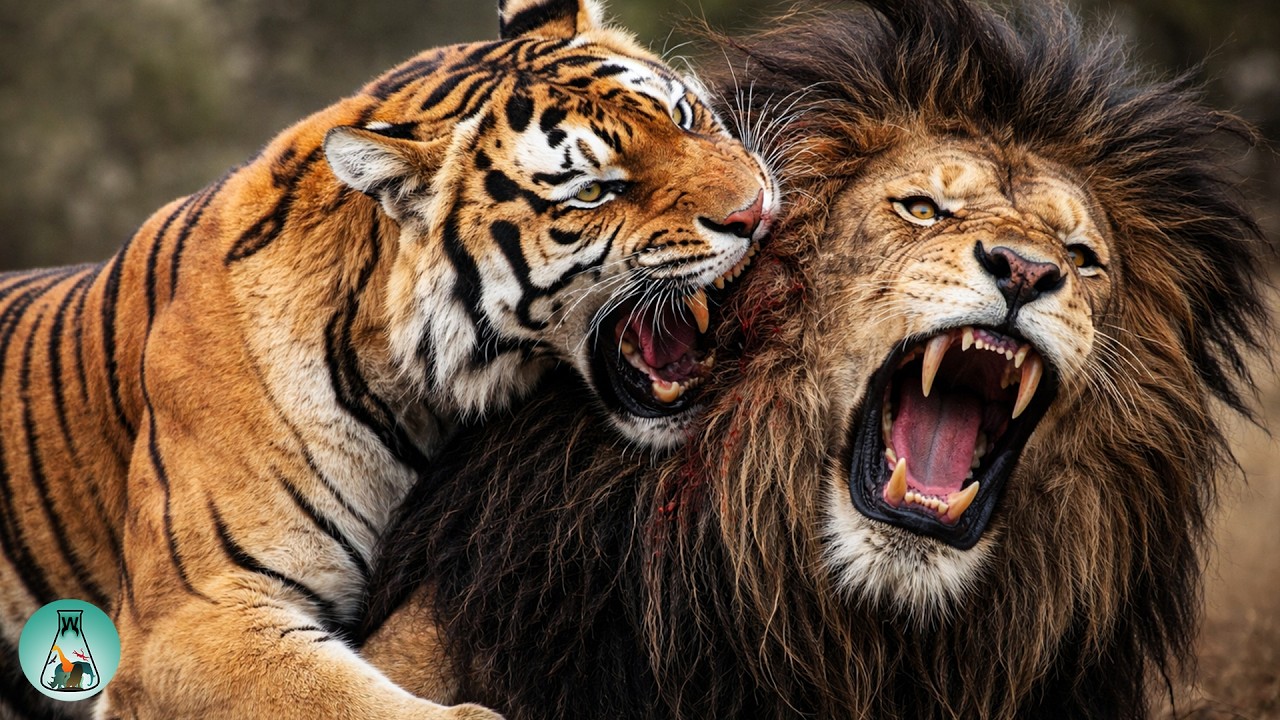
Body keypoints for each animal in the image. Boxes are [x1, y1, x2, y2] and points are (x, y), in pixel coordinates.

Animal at [0, 0, 777, 717]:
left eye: (686, 116)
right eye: (593, 191)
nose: (755, 213)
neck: (413, 389)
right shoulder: (189, 617)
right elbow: (338, 698)